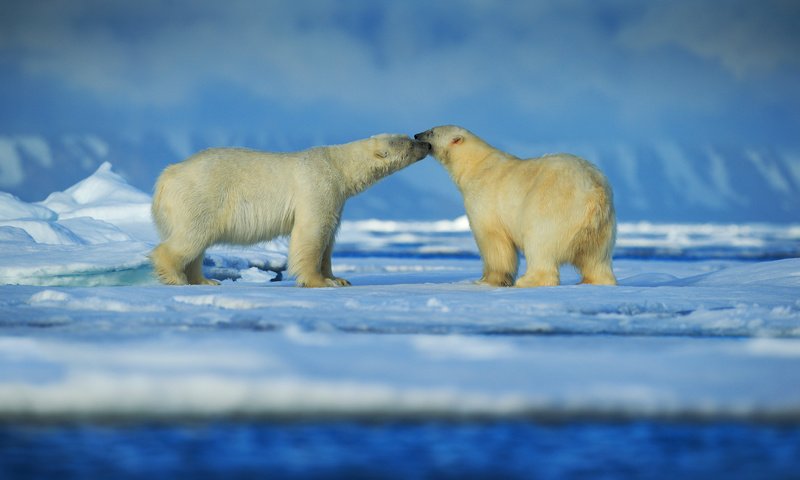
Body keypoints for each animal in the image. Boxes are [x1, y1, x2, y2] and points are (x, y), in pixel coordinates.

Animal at [150, 133, 432, 286]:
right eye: (408, 143)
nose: (426, 144)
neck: (338, 166)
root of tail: (167, 175)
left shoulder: (337, 199)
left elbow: (329, 238)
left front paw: (338, 278)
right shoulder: (318, 186)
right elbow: (312, 232)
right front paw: (319, 281)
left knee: (197, 243)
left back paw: (204, 279)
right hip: (202, 195)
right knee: (191, 237)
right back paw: (176, 277)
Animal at [416, 125, 616, 286]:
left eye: (431, 131)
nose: (417, 135)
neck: (475, 165)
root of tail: (594, 192)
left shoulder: (484, 199)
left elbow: (492, 240)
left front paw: (487, 280)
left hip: (554, 207)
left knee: (540, 243)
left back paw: (529, 280)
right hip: (602, 227)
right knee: (596, 258)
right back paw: (595, 281)